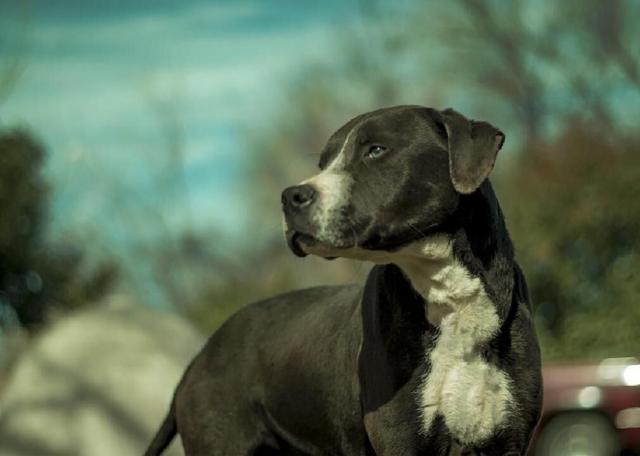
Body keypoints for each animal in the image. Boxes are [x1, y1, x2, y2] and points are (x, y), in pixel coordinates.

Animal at [148, 105, 544, 454]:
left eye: (376, 150)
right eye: (323, 164)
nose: (291, 196)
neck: (447, 295)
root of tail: (200, 356)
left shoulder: (510, 438)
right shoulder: (400, 437)